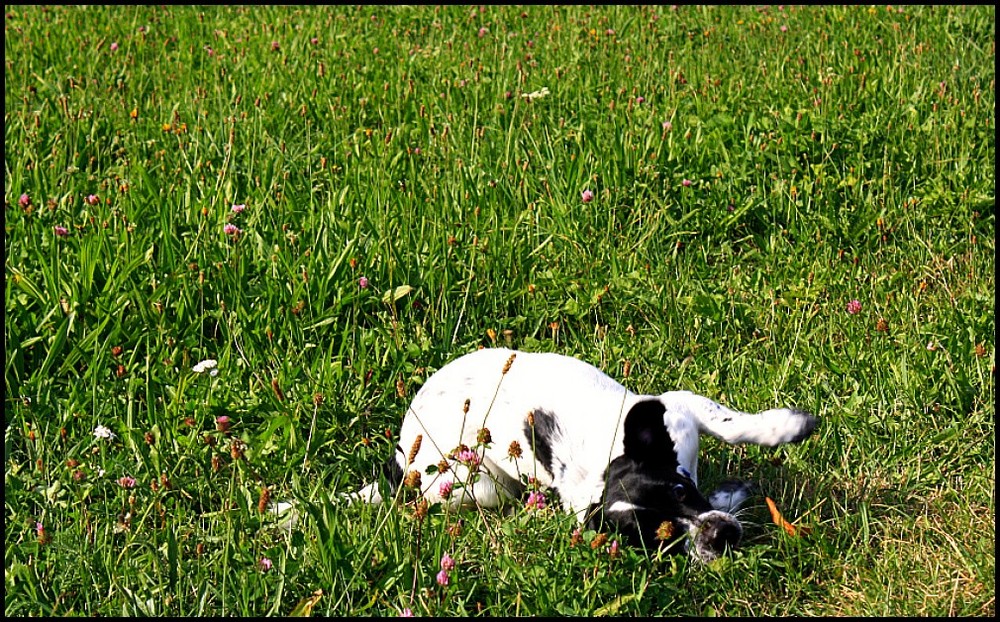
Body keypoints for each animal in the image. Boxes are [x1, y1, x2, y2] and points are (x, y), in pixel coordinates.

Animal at [350, 348, 812, 564]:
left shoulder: (678, 409)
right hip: (473, 484)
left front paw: (788, 426)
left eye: (680, 491)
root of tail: (402, 453)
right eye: (658, 538)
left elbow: (732, 424)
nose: (718, 536)